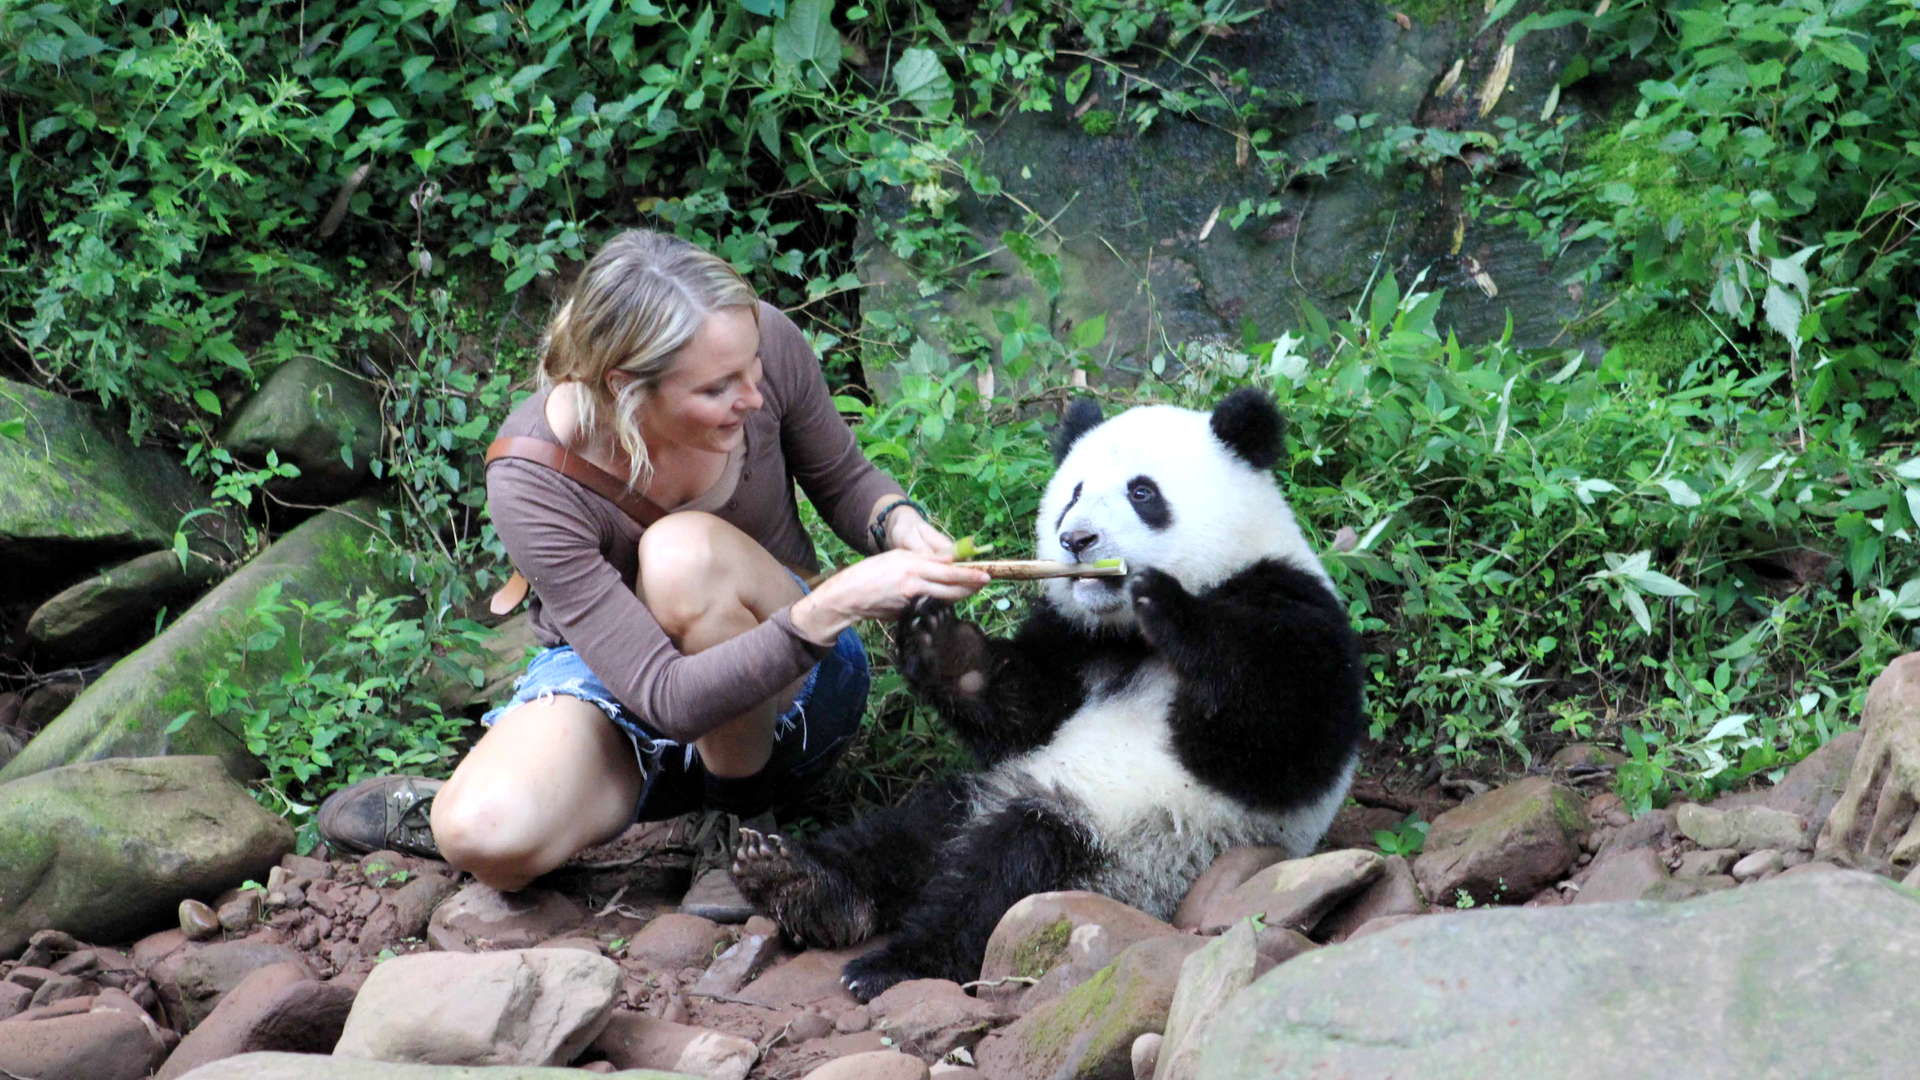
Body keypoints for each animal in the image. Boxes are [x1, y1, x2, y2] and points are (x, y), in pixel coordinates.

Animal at [721, 386, 1367, 999]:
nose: (1077, 540)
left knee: (1008, 869)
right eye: (1074, 493)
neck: (1126, 636)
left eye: (1142, 492)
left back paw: (897, 960)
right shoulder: (1072, 639)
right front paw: (942, 642)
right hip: (994, 792)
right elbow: (1024, 713)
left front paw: (1169, 605)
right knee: (906, 831)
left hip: (1134, 848)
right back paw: (797, 880)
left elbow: (1279, 736)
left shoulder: (1291, 604)